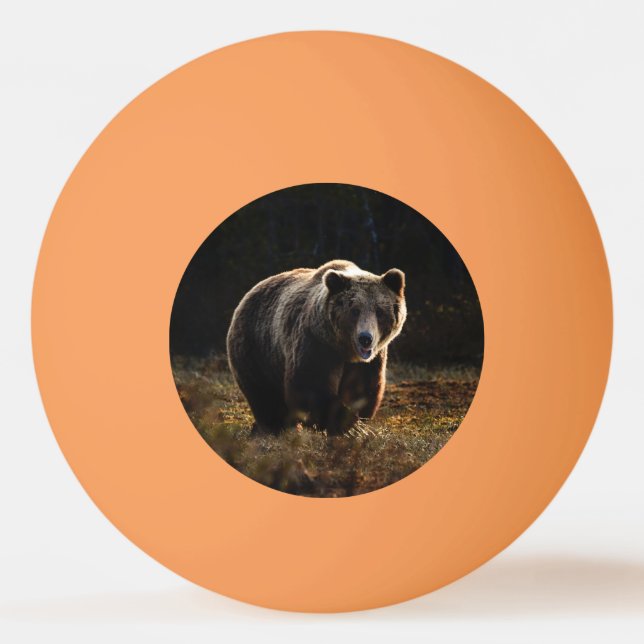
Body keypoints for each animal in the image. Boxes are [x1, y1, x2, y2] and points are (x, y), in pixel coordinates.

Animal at [226, 259, 407, 435]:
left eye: (379, 311)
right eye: (354, 310)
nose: (365, 339)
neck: (344, 349)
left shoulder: (369, 361)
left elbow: (361, 389)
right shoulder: (316, 343)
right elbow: (310, 385)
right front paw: (351, 427)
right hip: (257, 349)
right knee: (265, 396)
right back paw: (275, 428)